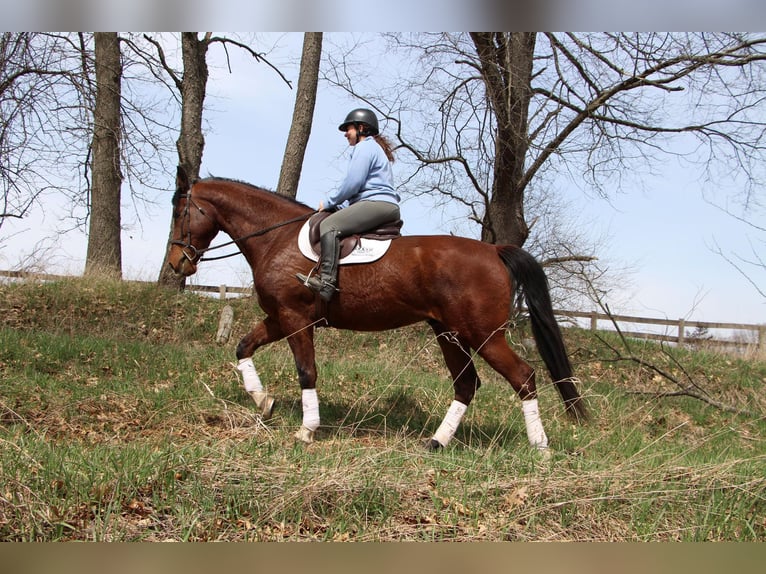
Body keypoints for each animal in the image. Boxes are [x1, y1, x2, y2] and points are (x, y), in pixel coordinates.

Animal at [168, 168, 588, 454]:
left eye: (179, 212)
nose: (176, 264)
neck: (276, 237)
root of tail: (495, 250)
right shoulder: (279, 318)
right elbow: (243, 347)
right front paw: (263, 401)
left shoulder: (295, 319)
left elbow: (307, 371)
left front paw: (307, 429)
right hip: (449, 333)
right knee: (467, 384)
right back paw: (436, 442)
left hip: (484, 335)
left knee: (524, 377)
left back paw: (540, 447)